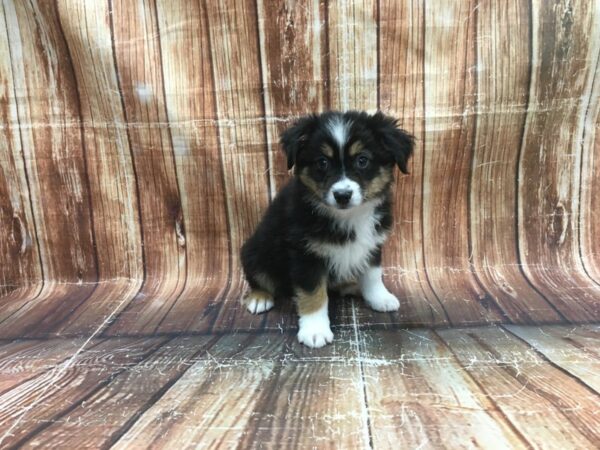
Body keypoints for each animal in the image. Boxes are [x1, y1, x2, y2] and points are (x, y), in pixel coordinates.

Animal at [239, 110, 412, 348]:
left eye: (362, 160)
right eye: (322, 162)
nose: (342, 195)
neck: (347, 217)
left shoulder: (372, 243)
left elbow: (373, 275)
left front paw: (380, 297)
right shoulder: (305, 254)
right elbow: (313, 294)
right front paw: (315, 330)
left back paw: (350, 285)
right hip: (255, 251)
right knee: (258, 277)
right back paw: (259, 298)